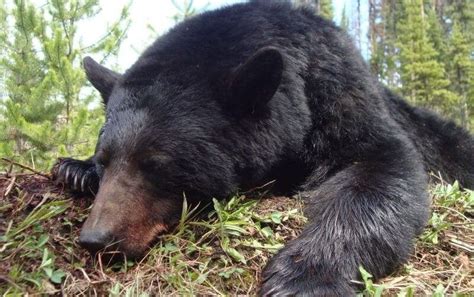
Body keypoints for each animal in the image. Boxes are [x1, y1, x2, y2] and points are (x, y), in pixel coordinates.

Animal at [52, 1, 474, 294]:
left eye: (156, 164)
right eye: (106, 160)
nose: (96, 239)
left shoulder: (341, 96)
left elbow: (382, 167)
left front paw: (301, 277)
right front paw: (73, 168)